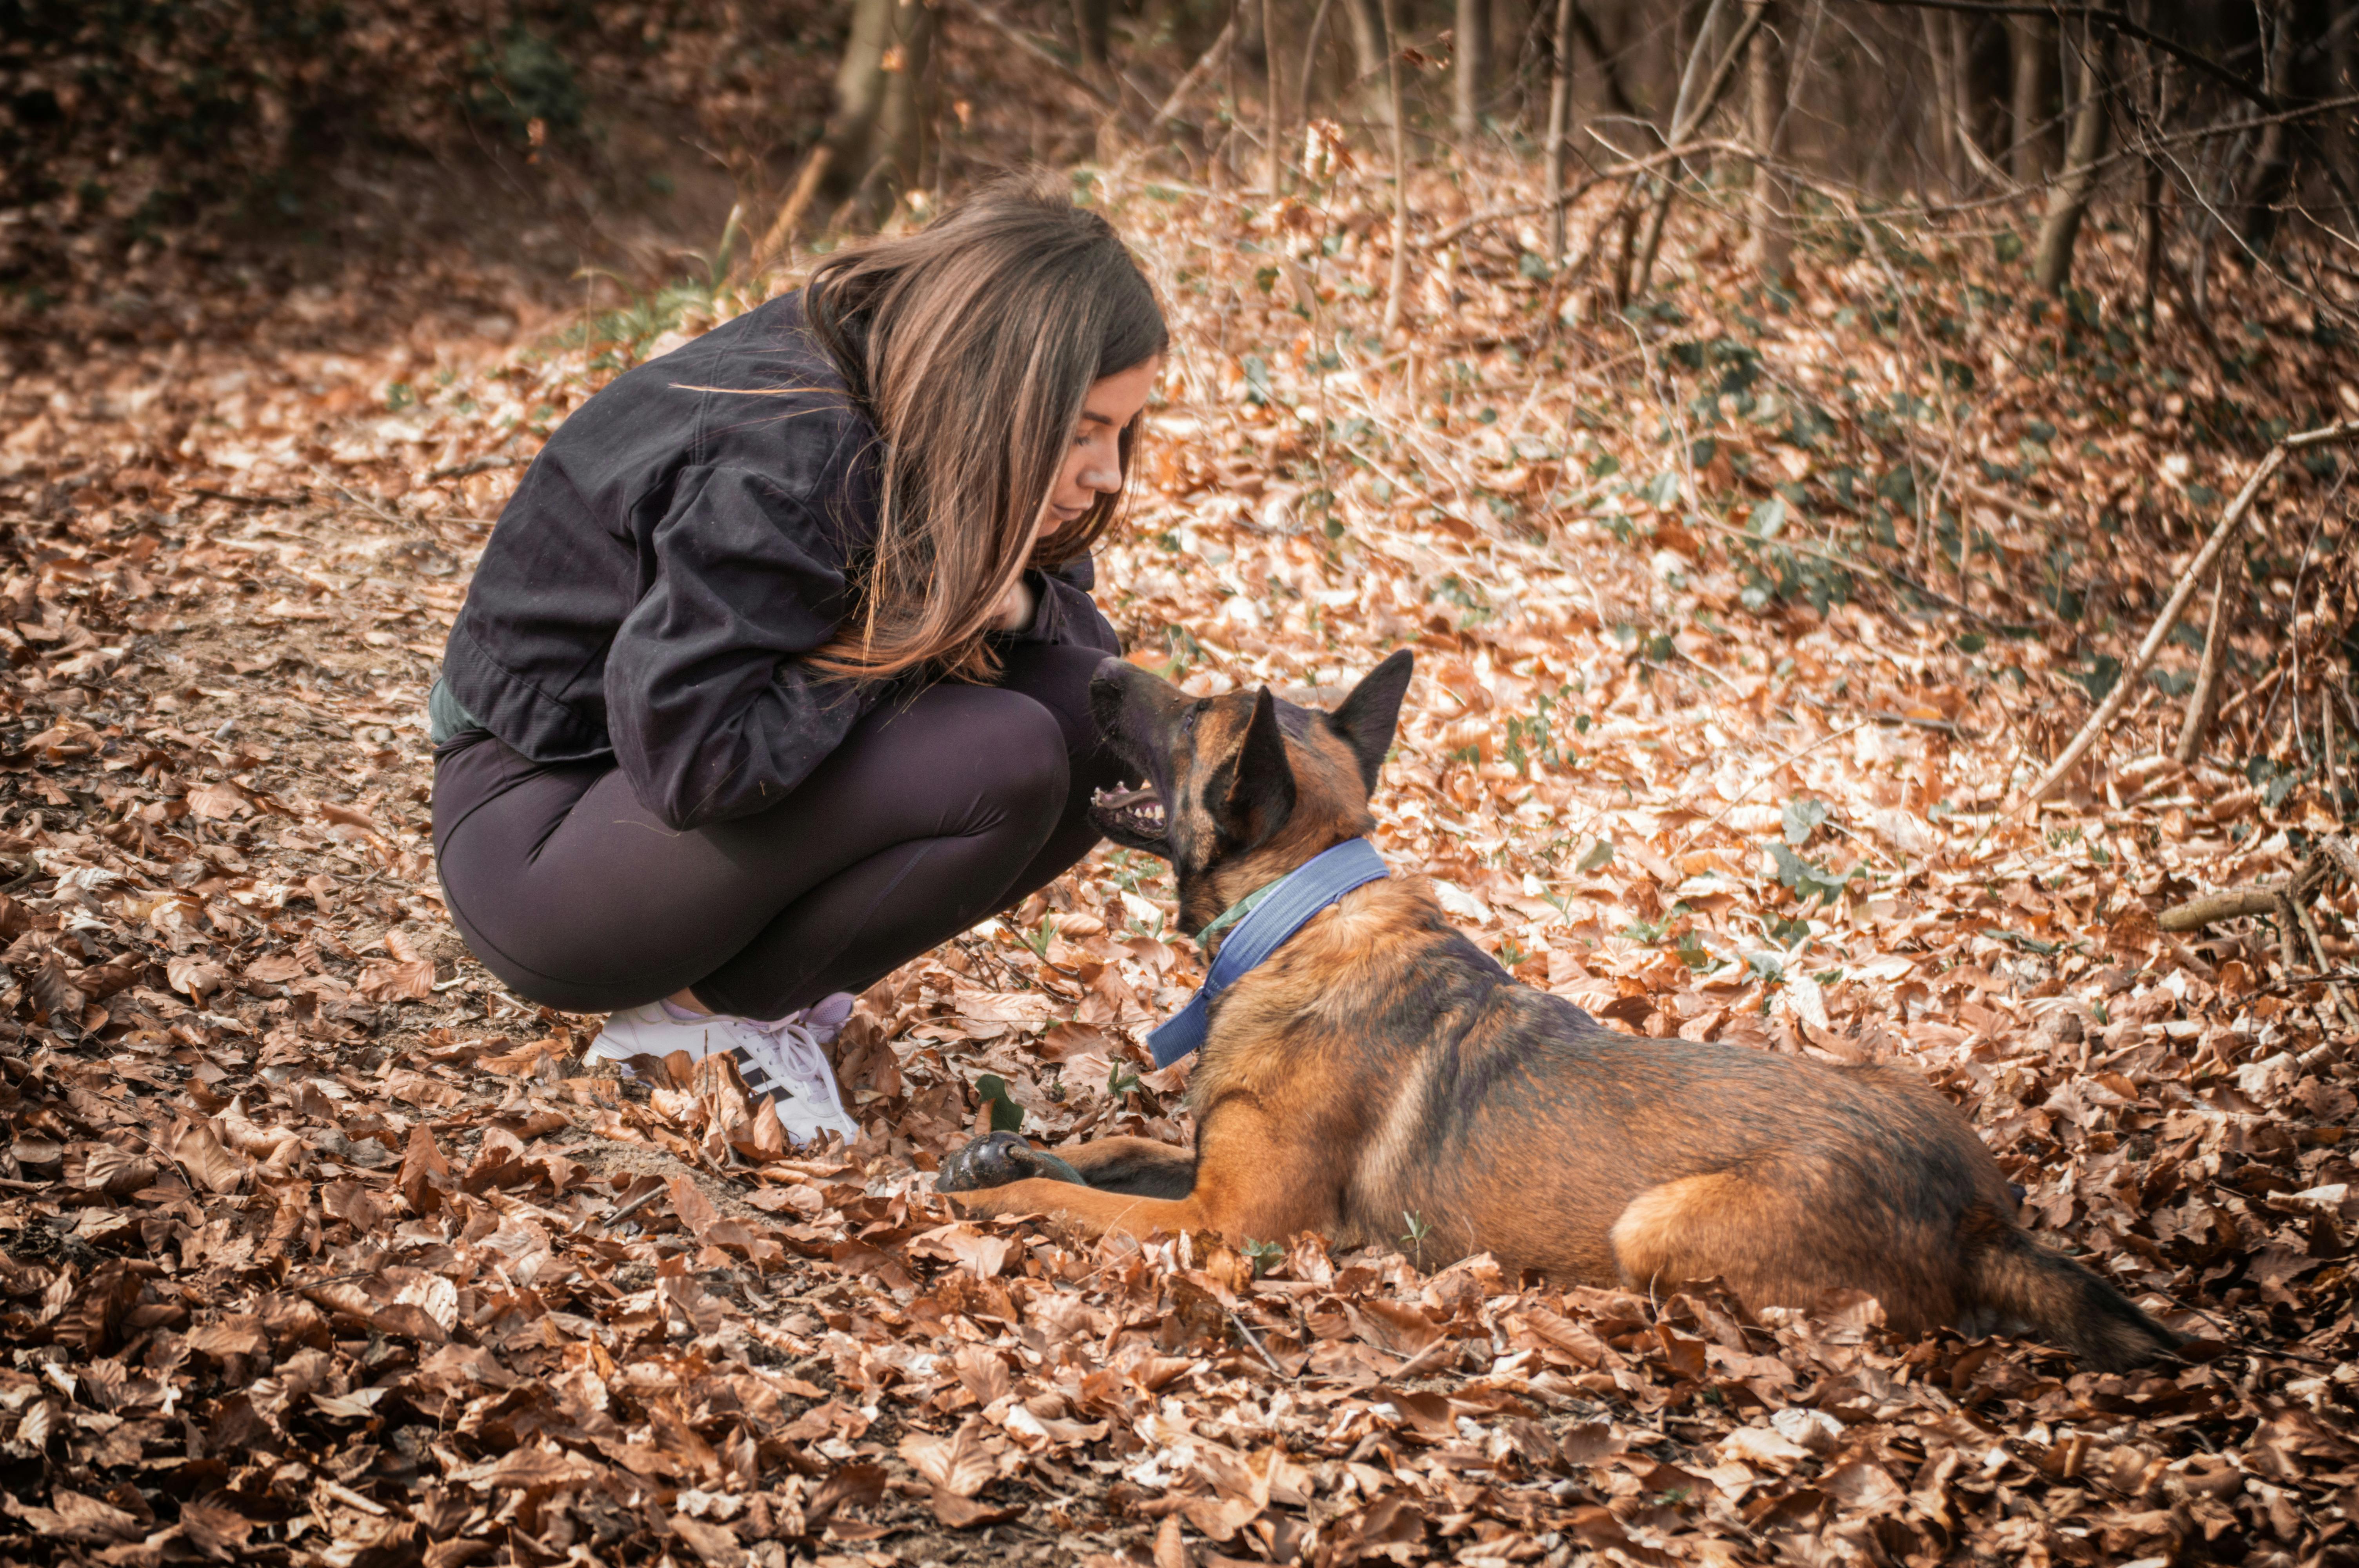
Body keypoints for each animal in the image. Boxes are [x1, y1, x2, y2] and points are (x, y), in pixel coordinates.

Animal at [929, 641, 2179, 1367]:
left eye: (1192, 716)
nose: (1095, 671)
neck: (1301, 915)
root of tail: (1976, 1220)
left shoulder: (1223, 1223)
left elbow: (1066, 1196)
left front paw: (996, 1196)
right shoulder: (1201, 1172)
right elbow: (1112, 1145)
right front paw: (995, 1152)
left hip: (1652, 1226)